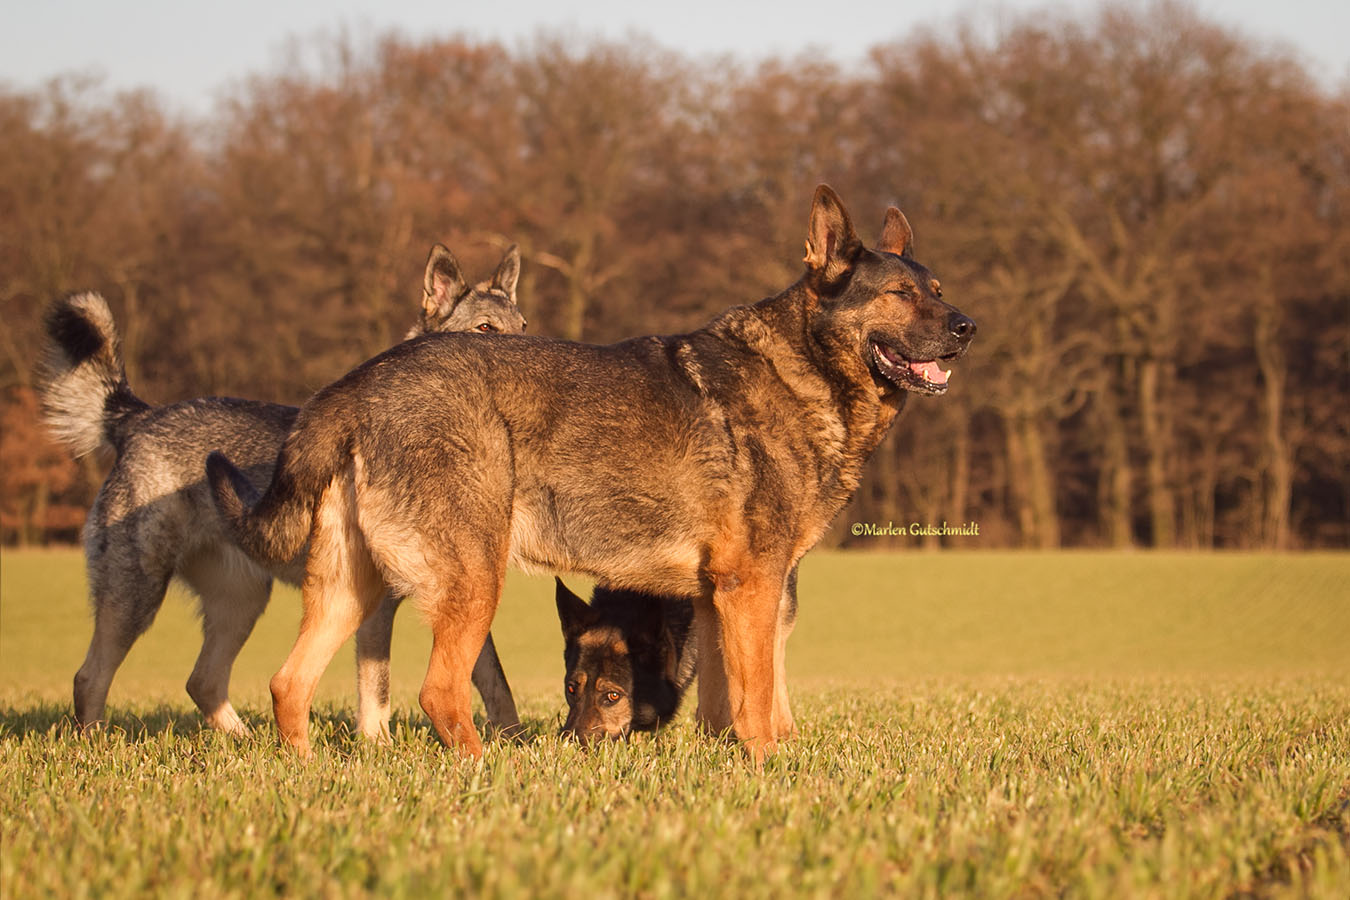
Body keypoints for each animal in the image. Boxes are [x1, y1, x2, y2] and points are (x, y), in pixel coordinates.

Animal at [34, 242, 529, 734]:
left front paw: (509, 738)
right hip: (135, 595)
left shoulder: (457, 592)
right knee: (91, 676)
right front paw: (377, 744)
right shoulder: (375, 607)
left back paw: (243, 739)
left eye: (523, 327)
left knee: (202, 681)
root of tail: (140, 417)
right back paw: (95, 741)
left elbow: (494, 681)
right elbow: (378, 689)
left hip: (242, 601)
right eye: (486, 329)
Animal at [205, 188, 977, 761]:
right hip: (471, 581)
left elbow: (725, 706)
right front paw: (767, 769)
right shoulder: (752, 587)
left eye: (938, 289)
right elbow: (759, 700)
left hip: (350, 589)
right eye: (901, 294)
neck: (806, 371)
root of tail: (358, 386)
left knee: (288, 684)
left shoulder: (719, 598)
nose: (968, 327)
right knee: (439, 694)